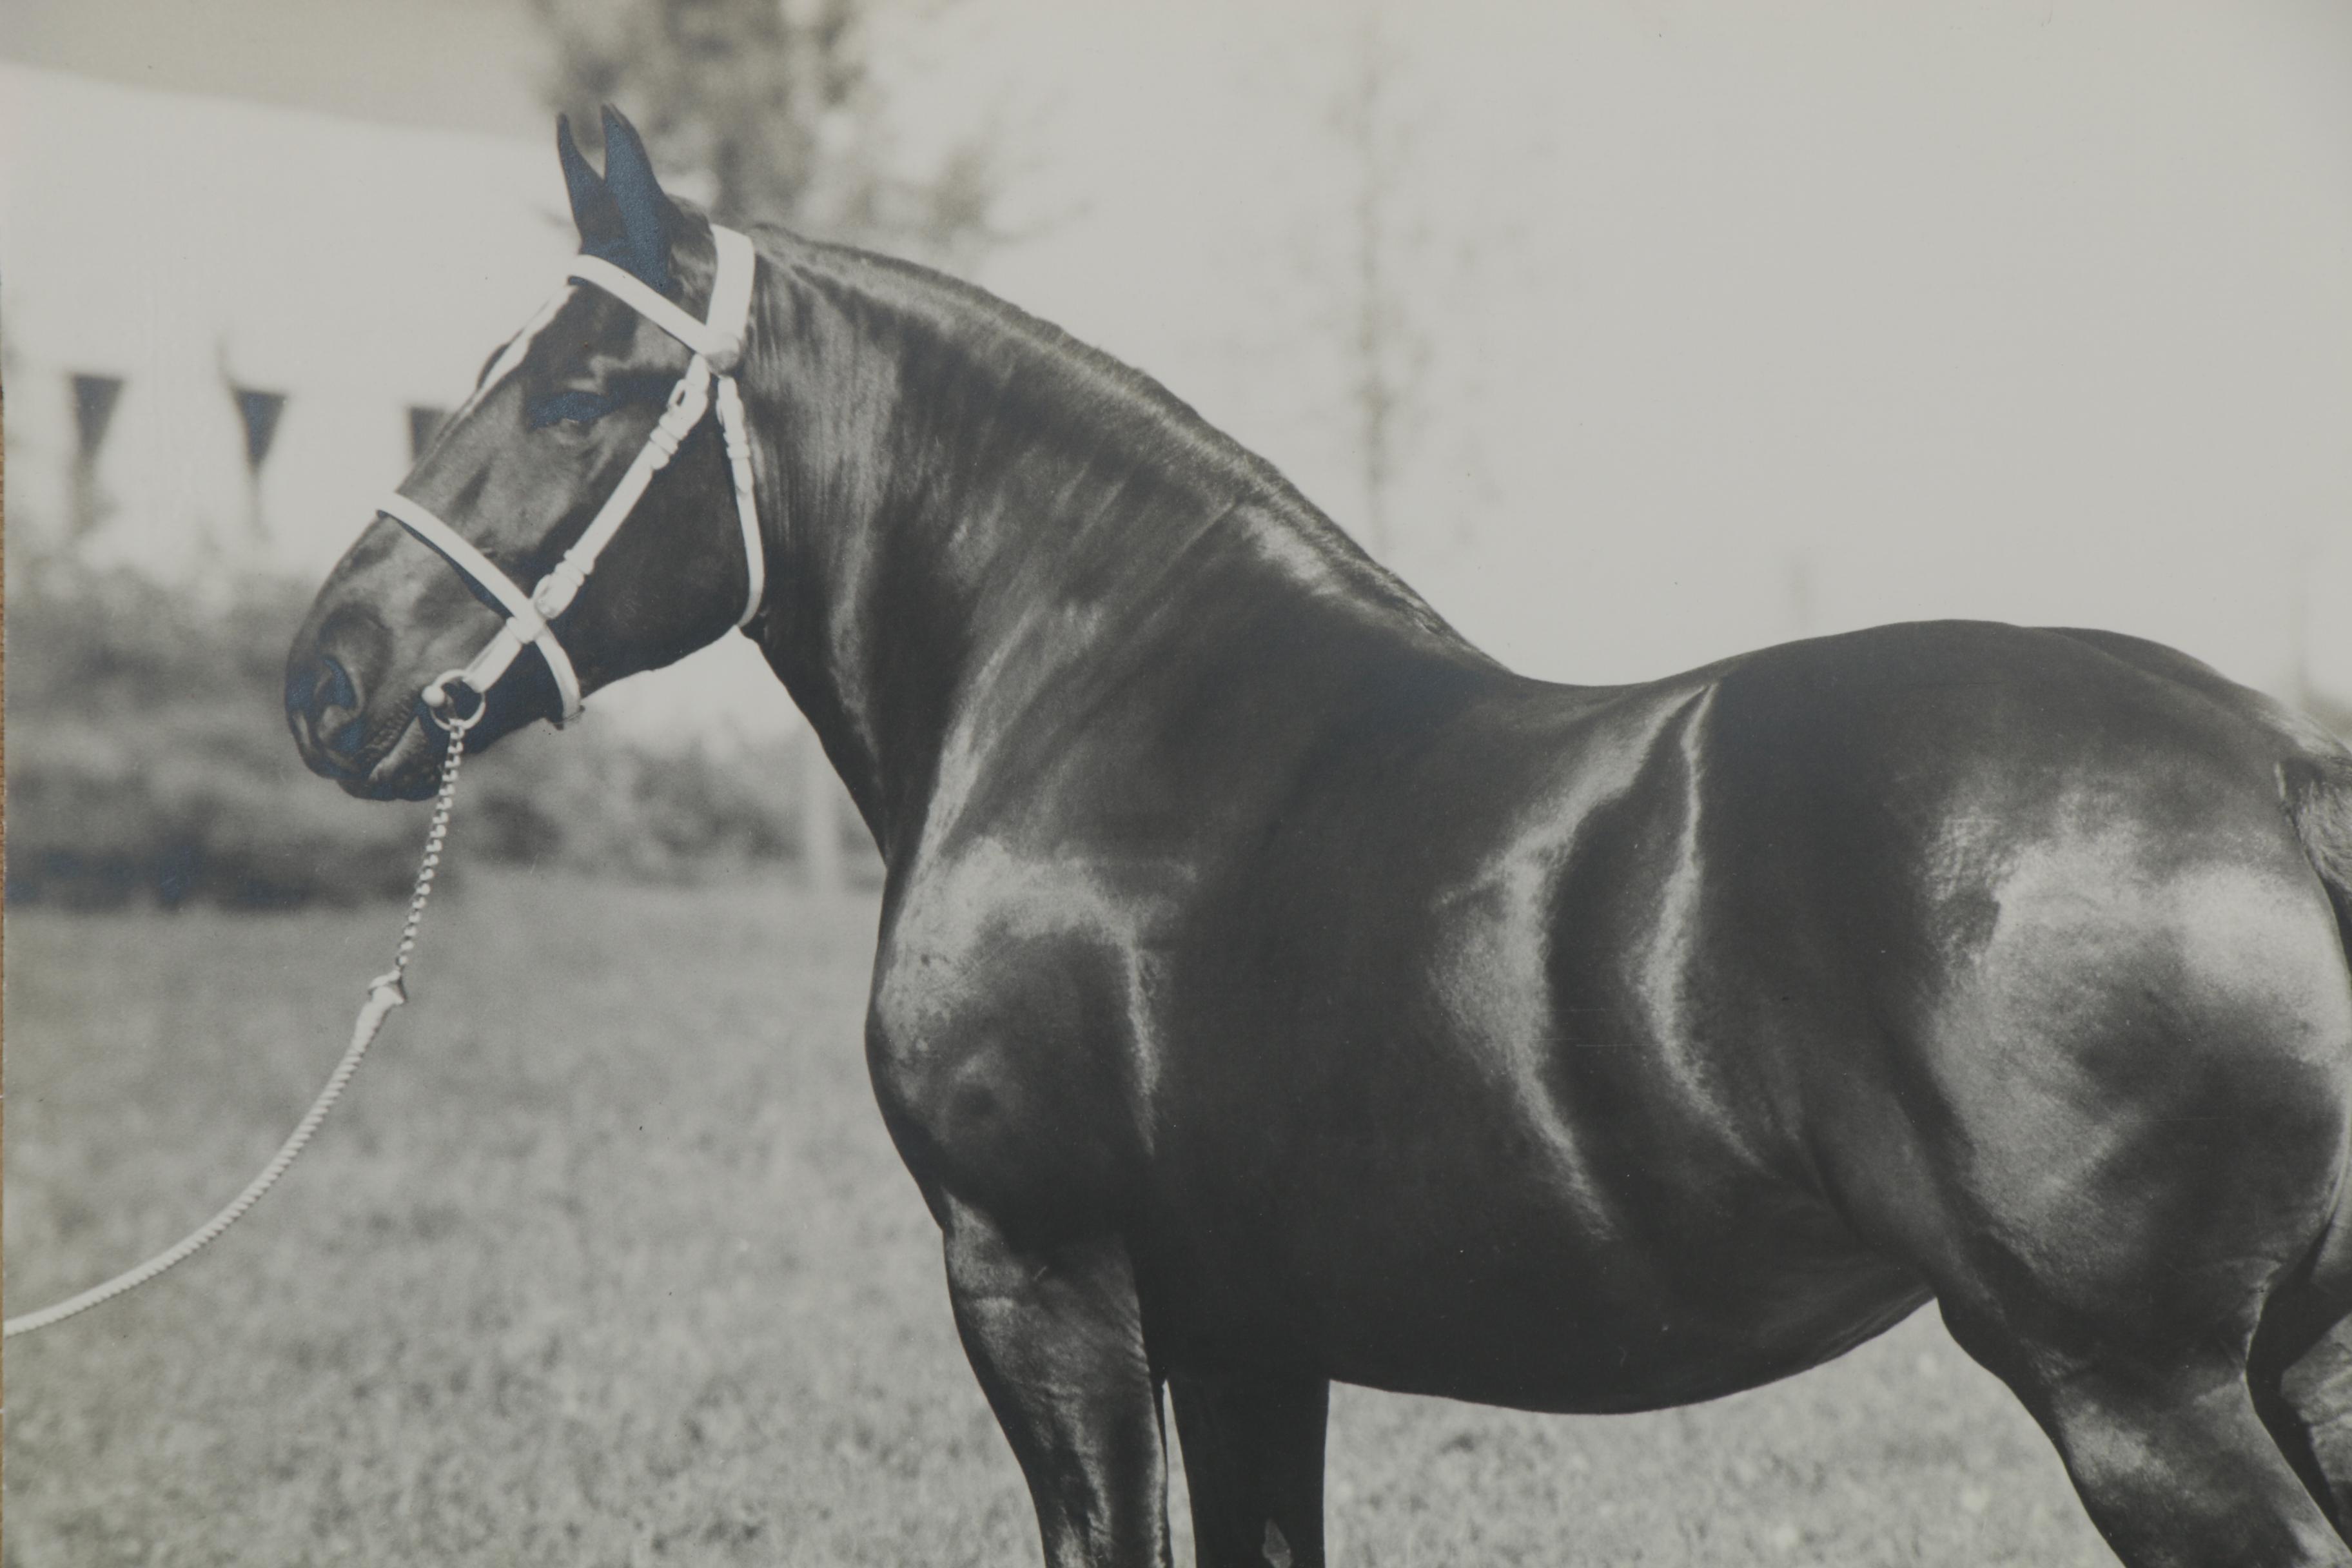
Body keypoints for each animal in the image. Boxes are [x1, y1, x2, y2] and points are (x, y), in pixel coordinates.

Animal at [288, 106, 2352, 1567]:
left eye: (581, 390)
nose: (329, 676)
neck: (1096, 708)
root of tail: (2271, 761)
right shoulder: (1248, 1334)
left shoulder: (1043, 1286)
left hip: (2138, 1393)